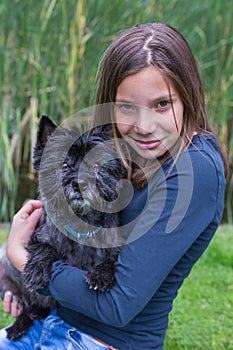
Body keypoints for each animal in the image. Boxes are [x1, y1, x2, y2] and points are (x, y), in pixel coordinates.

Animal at [0, 116, 127, 340]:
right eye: (65, 164)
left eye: (96, 165)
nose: (80, 182)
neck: (80, 221)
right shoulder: (35, 236)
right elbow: (45, 247)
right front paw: (36, 270)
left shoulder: (115, 244)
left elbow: (110, 258)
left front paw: (101, 275)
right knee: (28, 304)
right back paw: (20, 323)